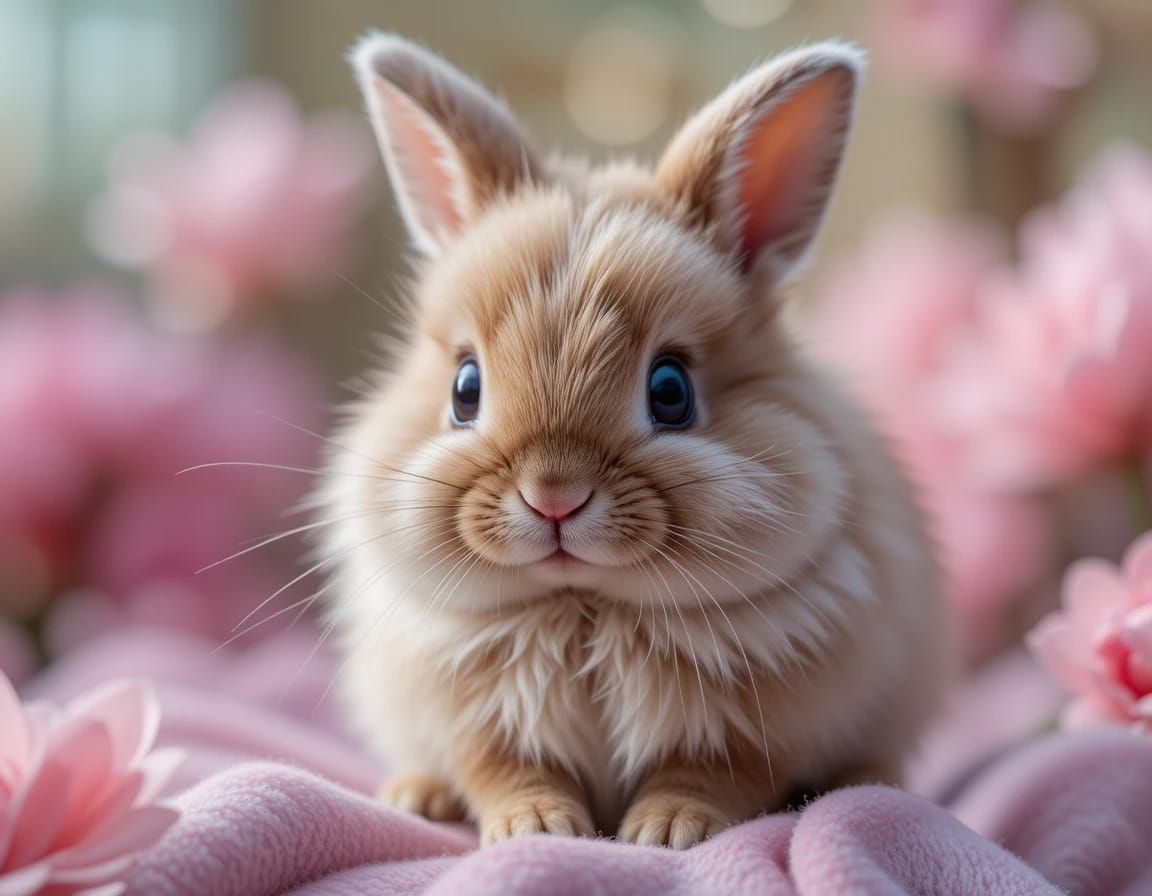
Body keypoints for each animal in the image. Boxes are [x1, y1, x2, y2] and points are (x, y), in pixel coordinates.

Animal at [318, 31, 949, 849]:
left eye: (671, 392)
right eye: (465, 389)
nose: (554, 496)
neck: (585, 608)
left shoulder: (753, 728)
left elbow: (708, 775)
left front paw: (668, 832)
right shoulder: (477, 724)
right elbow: (505, 771)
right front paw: (538, 828)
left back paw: (869, 783)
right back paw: (415, 797)